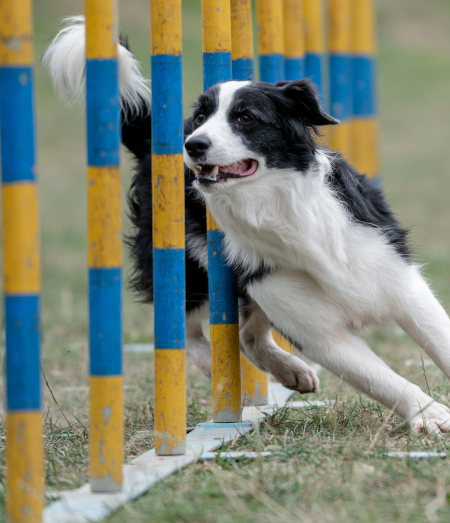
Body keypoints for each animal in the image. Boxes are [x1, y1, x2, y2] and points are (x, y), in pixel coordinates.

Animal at [44, 18, 450, 434]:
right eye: (202, 117)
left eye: (245, 117)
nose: (193, 144)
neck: (278, 207)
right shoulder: (316, 328)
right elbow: (381, 378)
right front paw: (430, 414)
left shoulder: (396, 278)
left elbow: (438, 339)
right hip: (189, 267)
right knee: (191, 332)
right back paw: (223, 378)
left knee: (246, 335)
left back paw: (289, 372)